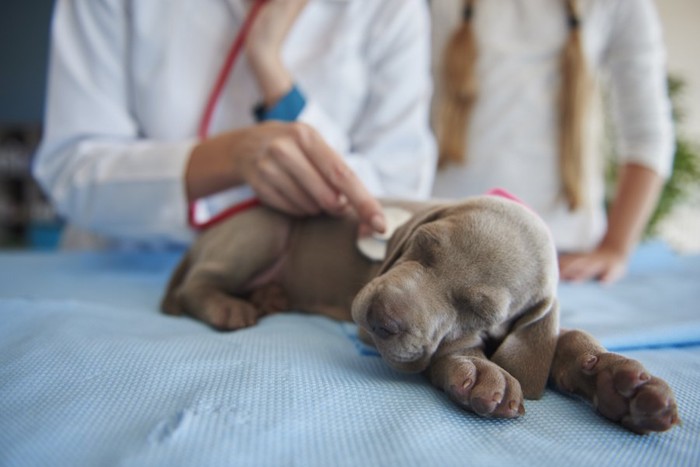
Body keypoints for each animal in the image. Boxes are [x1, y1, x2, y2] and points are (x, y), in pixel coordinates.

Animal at [163, 195, 680, 436]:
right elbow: (453, 352)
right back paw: (230, 306)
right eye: (423, 246)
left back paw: (269, 296)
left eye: (479, 309)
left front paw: (621, 384)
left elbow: (560, 339)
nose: (381, 318)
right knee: (197, 284)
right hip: (264, 229)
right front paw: (477, 370)